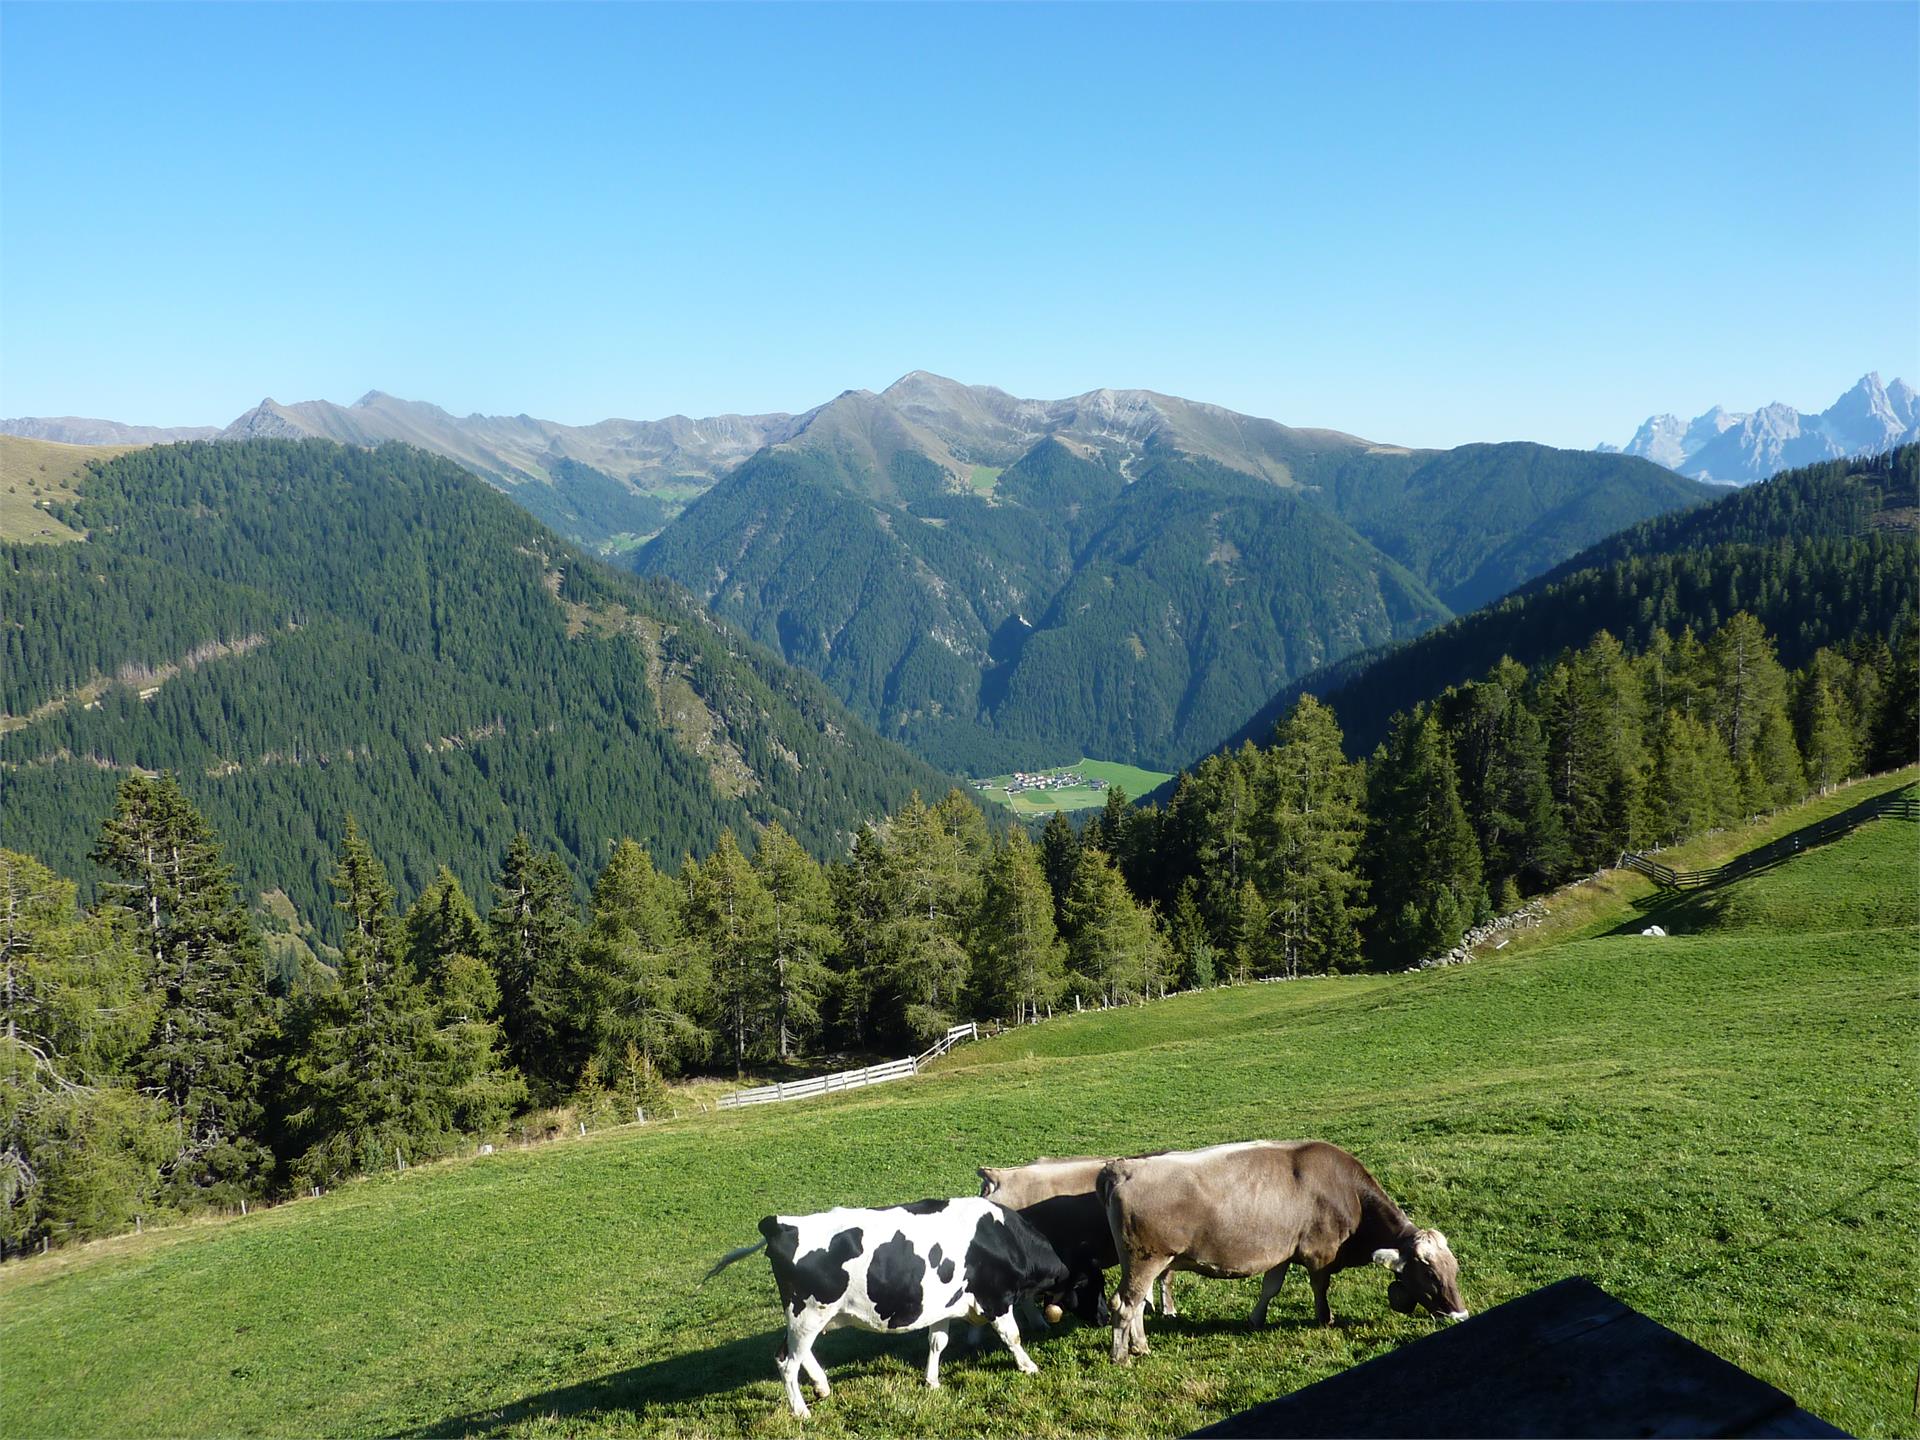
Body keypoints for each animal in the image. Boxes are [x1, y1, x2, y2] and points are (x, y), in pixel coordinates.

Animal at [706, 1198, 1098, 1420]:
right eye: (1084, 1284)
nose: (1104, 1317)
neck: (1001, 1236)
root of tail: (781, 1224)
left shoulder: (944, 1306)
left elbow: (937, 1342)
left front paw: (932, 1380)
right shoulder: (996, 1299)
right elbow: (1011, 1336)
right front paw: (1029, 1366)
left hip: (811, 1316)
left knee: (794, 1354)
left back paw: (822, 1387)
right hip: (808, 1312)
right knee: (788, 1362)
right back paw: (801, 1411)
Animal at [1098, 1136, 1466, 1367]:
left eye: (1455, 1269)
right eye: (1429, 1273)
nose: (1460, 1316)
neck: (1349, 1195)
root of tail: (1123, 1168)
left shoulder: (1282, 1252)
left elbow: (1270, 1288)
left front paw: (1256, 1319)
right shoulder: (1320, 1253)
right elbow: (1320, 1287)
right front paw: (1325, 1319)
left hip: (1151, 1262)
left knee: (1138, 1305)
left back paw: (1141, 1346)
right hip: (1146, 1258)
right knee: (1124, 1305)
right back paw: (1121, 1357)